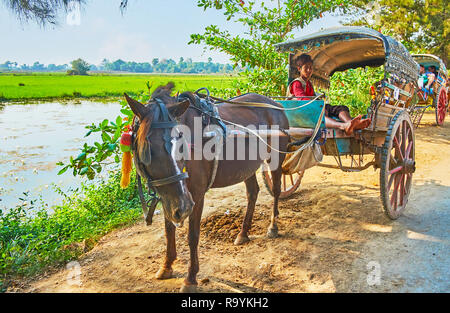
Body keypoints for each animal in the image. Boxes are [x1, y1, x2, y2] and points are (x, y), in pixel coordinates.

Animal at [123, 81, 288, 292]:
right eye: (147, 149)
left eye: (182, 144)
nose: (184, 207)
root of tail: (276, 104)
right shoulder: (170, 196)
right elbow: (169, 230)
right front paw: (167, 265)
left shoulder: (195, 194)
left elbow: (193, 235)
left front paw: (190, 277)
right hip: (246, 166)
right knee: (253, 192)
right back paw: (243, 233)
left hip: (276, 158)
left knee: (276, 190)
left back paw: (273, 226)